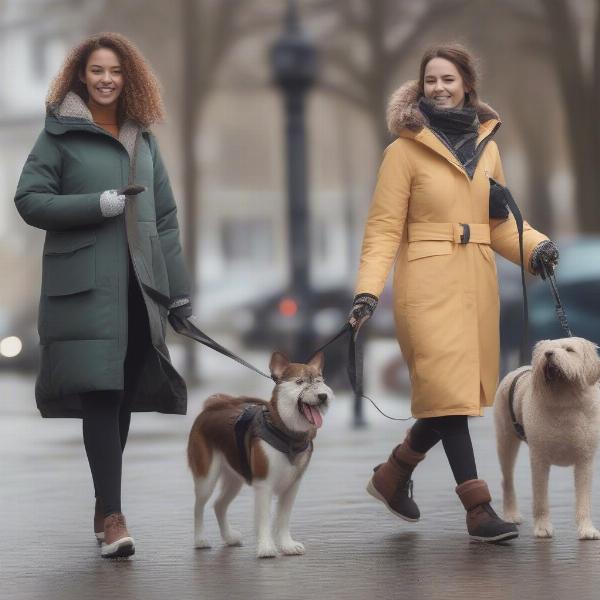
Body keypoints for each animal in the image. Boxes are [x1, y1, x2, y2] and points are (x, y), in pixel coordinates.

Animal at [188, 352, 332, 556]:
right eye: (300, 382)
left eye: (320, 381)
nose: (323, 395)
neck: (288, 433)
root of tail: (209, 408)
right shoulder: (264, 485)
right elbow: (264, 518)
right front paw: (266, 548)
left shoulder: (292, 486)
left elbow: (283, 519)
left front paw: (287, 545)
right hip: (206, 478)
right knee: (198, 507)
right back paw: (200, 539)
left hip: (234, 478)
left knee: (219, 505)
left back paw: (229, 537)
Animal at [494, 338, 600, 540]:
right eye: (547, 350)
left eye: (569, 350)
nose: (548, 354)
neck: (565, 400)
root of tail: (517, 369)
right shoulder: (539, 458)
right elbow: (540, 497)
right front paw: (543, 528)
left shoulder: (585, 460)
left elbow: (584, 498)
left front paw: (587, 530)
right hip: (505, 440)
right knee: (506, 479)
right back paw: (511, 515)